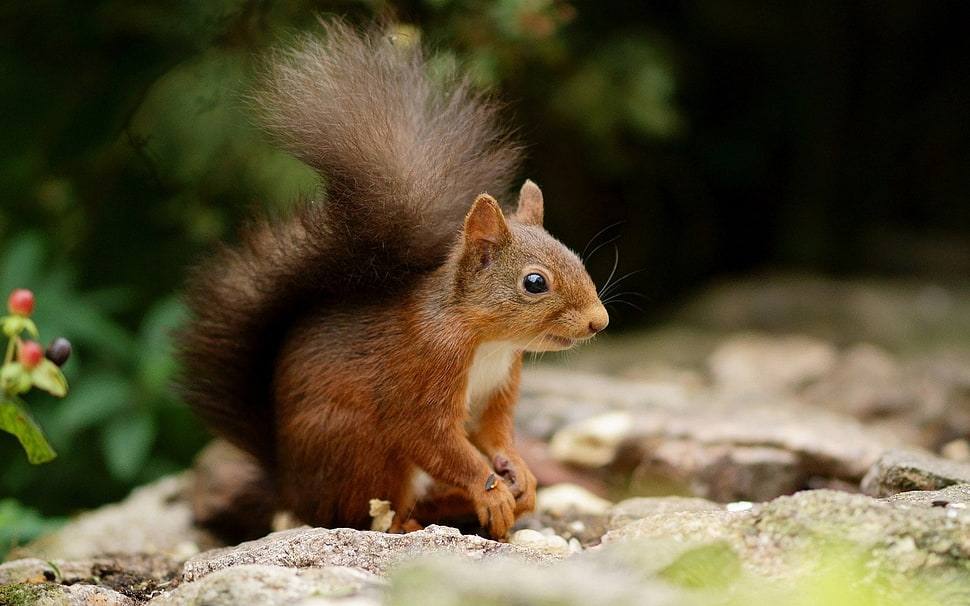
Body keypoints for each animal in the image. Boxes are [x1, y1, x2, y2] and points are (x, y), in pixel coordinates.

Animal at [177, 20, 608, 542]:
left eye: (576, 257)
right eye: (535, 283)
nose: (599, 322)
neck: (486, 339)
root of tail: (291, 488)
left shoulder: (499, 387)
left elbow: (494, 434)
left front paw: (518, 472)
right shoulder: (422, 374)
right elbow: (435, 439)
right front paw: (489, 490)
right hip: (361, 451)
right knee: (364, 514)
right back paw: (410, 521)